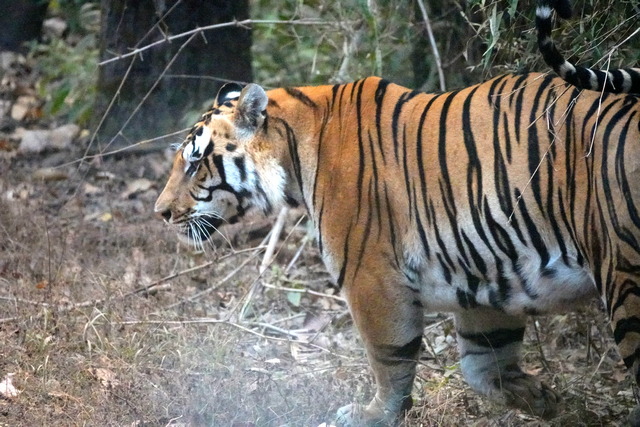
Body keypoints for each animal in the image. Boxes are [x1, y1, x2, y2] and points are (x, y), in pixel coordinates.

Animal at [155, 0, 640, 424]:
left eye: (195, 162)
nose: (161, 213)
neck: (293, 150)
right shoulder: (488, 271)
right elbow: (485, 365)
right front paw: (544, 400)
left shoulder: (370, 274)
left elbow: (388, 357)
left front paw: (374, 415)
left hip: (624, 274)